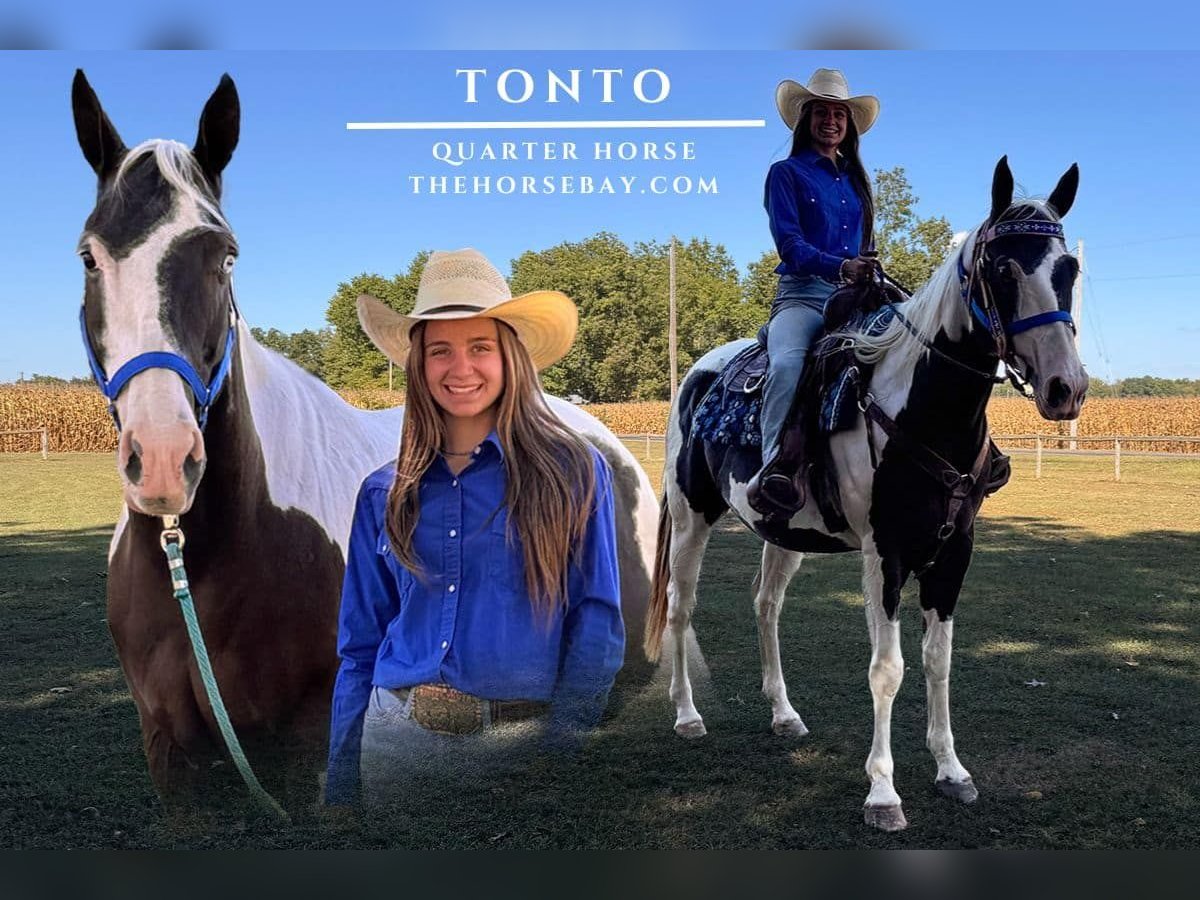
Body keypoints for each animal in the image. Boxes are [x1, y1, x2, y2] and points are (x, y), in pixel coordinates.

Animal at [71, 70, 658, 816]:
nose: (165, 461)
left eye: (224, 255)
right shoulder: (171, 760)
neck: (208, 562)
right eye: (91, 256)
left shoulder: (313, 752)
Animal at [643, 157, 1088, 832]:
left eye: (1070, 270)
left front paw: (951, 771)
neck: (920, 410)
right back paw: (688, 715)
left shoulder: (954, 553)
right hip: (692, 517)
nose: (1067, 387)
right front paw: (883, 792)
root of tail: (696, 374)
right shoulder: (886, 555)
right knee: (680, 605)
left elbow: (938, 660)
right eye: (1003, 269)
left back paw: (783, 714)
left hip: (783, 533)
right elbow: (887, 669)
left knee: (765, 605)